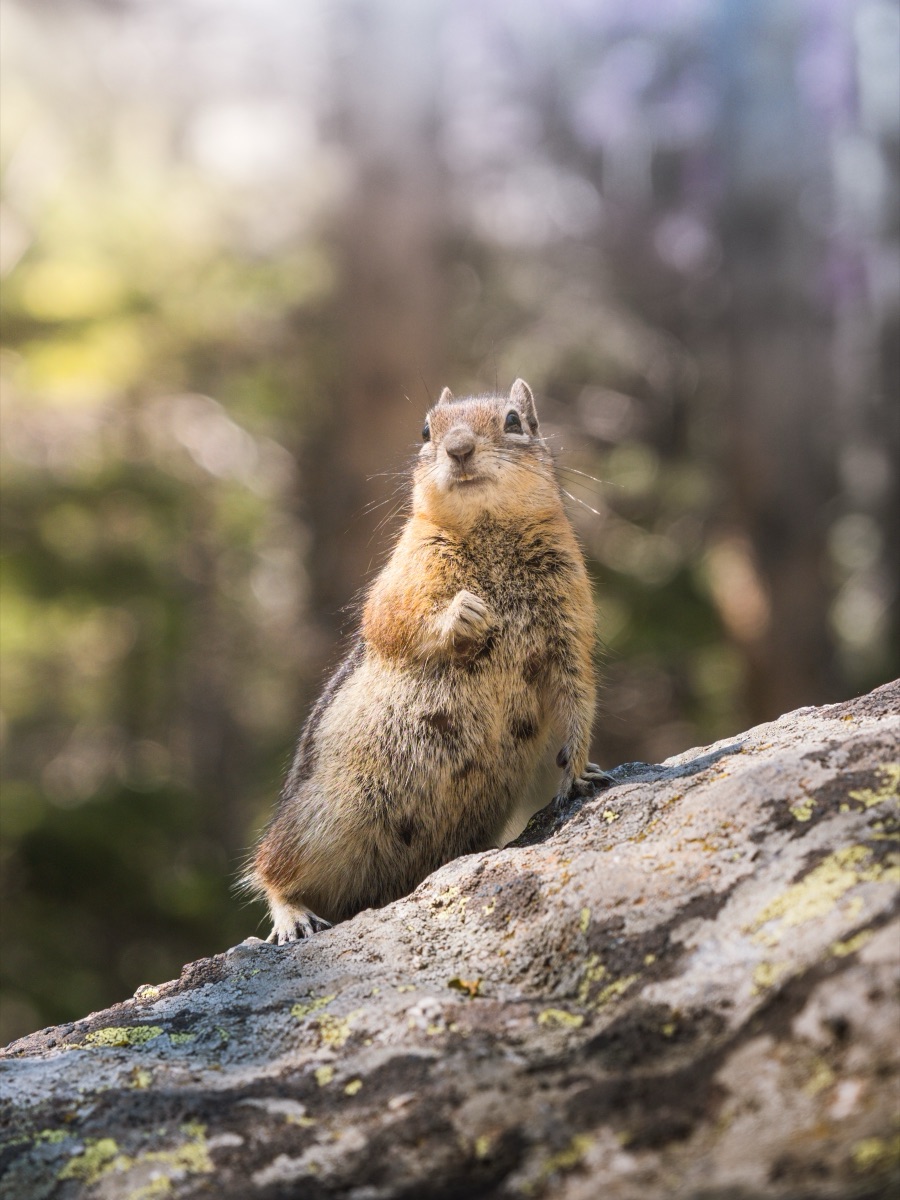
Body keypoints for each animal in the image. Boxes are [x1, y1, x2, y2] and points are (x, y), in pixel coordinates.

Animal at [249, 379, 609, 943]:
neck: (487, 528)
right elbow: (389, 620)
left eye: (514, 421)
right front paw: (465, 613)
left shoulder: (570, 622)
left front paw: (577, 774)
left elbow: (578, 693)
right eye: (424, 430)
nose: (458, 449)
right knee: (270, 870)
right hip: (319, 822)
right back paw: (294, 915)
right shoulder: (402, 575)